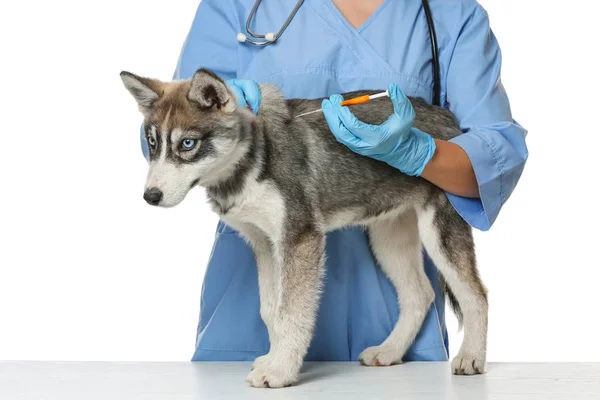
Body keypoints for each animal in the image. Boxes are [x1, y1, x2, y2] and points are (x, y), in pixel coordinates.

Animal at [120, 68, 488, 388]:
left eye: (187, 144)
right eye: (151, 143)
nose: (150, 196)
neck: (253, 156)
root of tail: (449, 120)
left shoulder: (300, 237)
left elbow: (291, 311)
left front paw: (280, 371)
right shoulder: (266, 243)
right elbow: (271, 310)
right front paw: (274, 357)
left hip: (439, 231)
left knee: (476, 294)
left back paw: (471, 357)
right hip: (387, 236)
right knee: (419, 293)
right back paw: (390, 350)